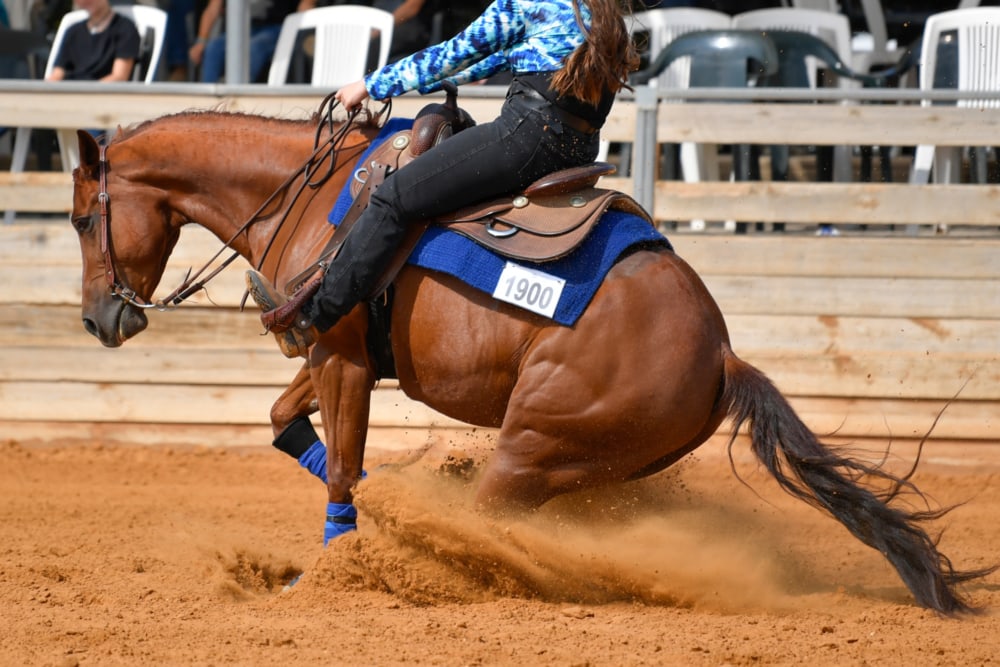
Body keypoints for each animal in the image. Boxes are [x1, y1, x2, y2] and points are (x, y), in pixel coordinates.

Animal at [68, 107, 991, 615]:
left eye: (81, 218)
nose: (99, 317)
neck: (317, 195)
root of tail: (725, 356)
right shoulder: (334, 356)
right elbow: (283, 425)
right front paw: (380, 513)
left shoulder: (342, 360)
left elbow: (344, 470)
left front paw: (347, 556)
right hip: (585, 467)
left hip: (532, 444)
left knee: (494, 525)